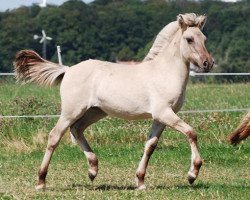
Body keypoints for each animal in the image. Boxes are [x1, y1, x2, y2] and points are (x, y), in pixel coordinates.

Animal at [13, 13, 213, 190]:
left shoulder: (161, 118)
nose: (208, 63)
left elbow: (150, 146)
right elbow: (191, 133)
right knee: (55, 136)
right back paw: (41, 181)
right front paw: (192, 174)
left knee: (77, 129)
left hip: (95, 111)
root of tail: (68, 70)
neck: (164, 72)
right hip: (71, 111)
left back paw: (92, 170)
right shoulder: (164, 113)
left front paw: (140, 182)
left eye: (204, 38)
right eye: (189, 39)